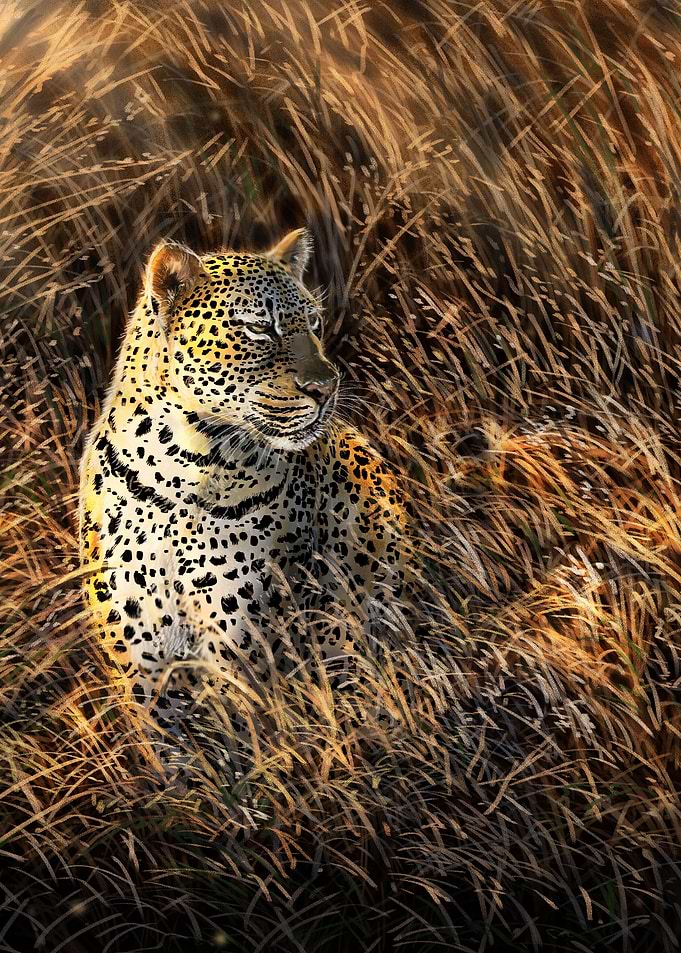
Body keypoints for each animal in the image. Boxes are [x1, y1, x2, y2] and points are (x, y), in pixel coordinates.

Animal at [79, 227, 408, 751]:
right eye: (257, 328)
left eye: (314, 322)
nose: (327, 387)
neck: (178, 466)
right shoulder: (141, 664)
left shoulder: (245, 643)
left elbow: (250, 739)